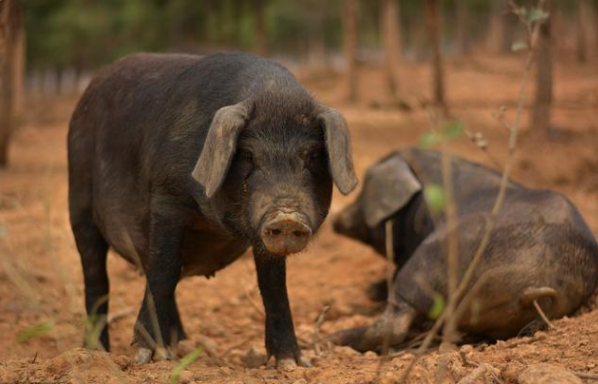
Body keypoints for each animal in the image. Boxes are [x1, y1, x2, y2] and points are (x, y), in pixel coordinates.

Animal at [69, 51, 360, 366]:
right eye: (247, 155)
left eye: (313, 155)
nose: (287, 217)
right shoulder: (166, 199)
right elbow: (164, 270)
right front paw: (148, 357)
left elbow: (274, 287)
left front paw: (291, 363)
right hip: (79, 204)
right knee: (97, 281)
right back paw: (97, 352)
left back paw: (178, 344)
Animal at [332, 148, 598, 352]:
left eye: (361, 195)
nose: (337, 220)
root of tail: (537, 283)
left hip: (429, 259)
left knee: (394, 322)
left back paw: (330, 340)